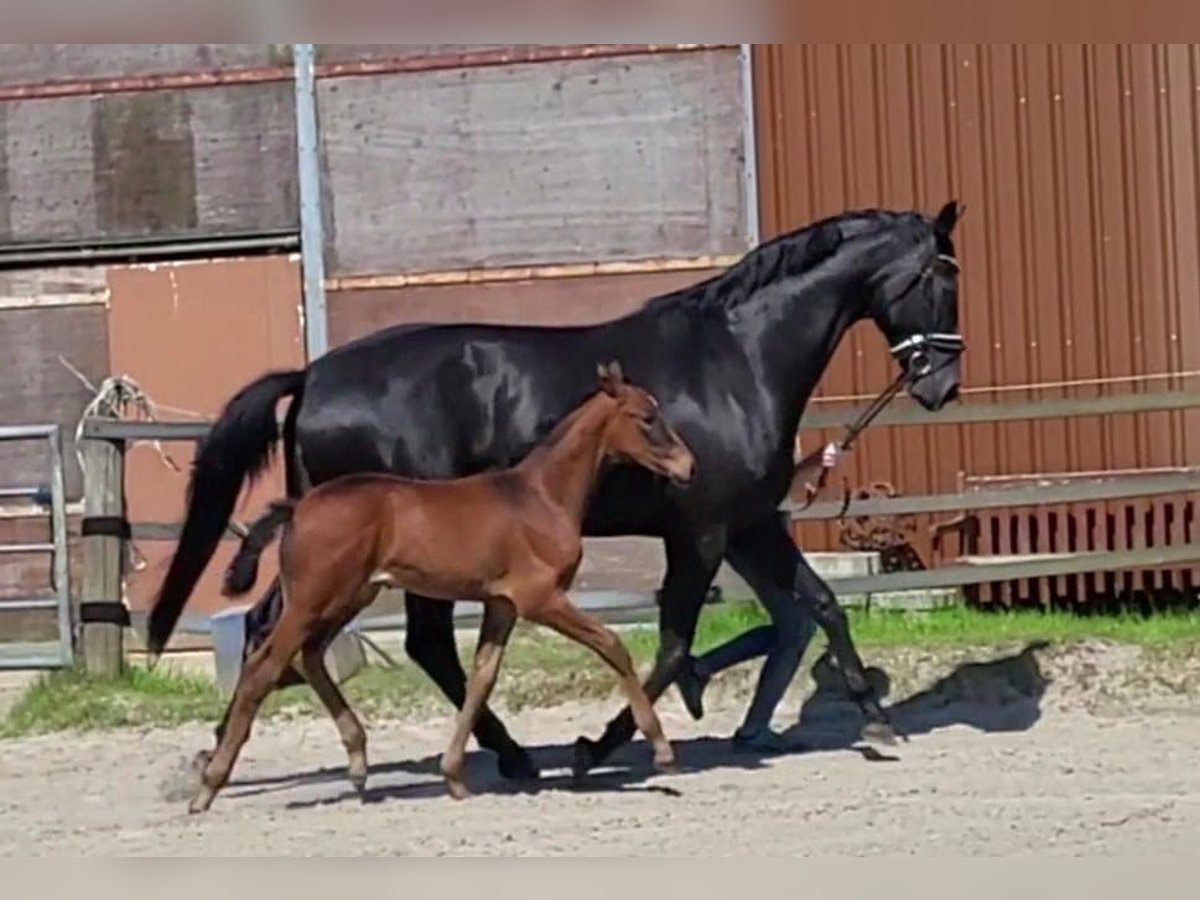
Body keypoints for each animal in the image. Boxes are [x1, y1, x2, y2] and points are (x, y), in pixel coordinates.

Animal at [187, 362, 696, 816]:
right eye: (647, 418)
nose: (689, 466)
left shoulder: (502, 605)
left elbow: (482, 679)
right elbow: (612, 646)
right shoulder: (540, 599)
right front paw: (663, 752)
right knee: (264, 667)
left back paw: (357, 762)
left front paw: (454, 776)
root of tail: (298, 507)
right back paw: (208, 787)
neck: (540, 496)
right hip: (314, 599)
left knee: (309, 658)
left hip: (349, 596)